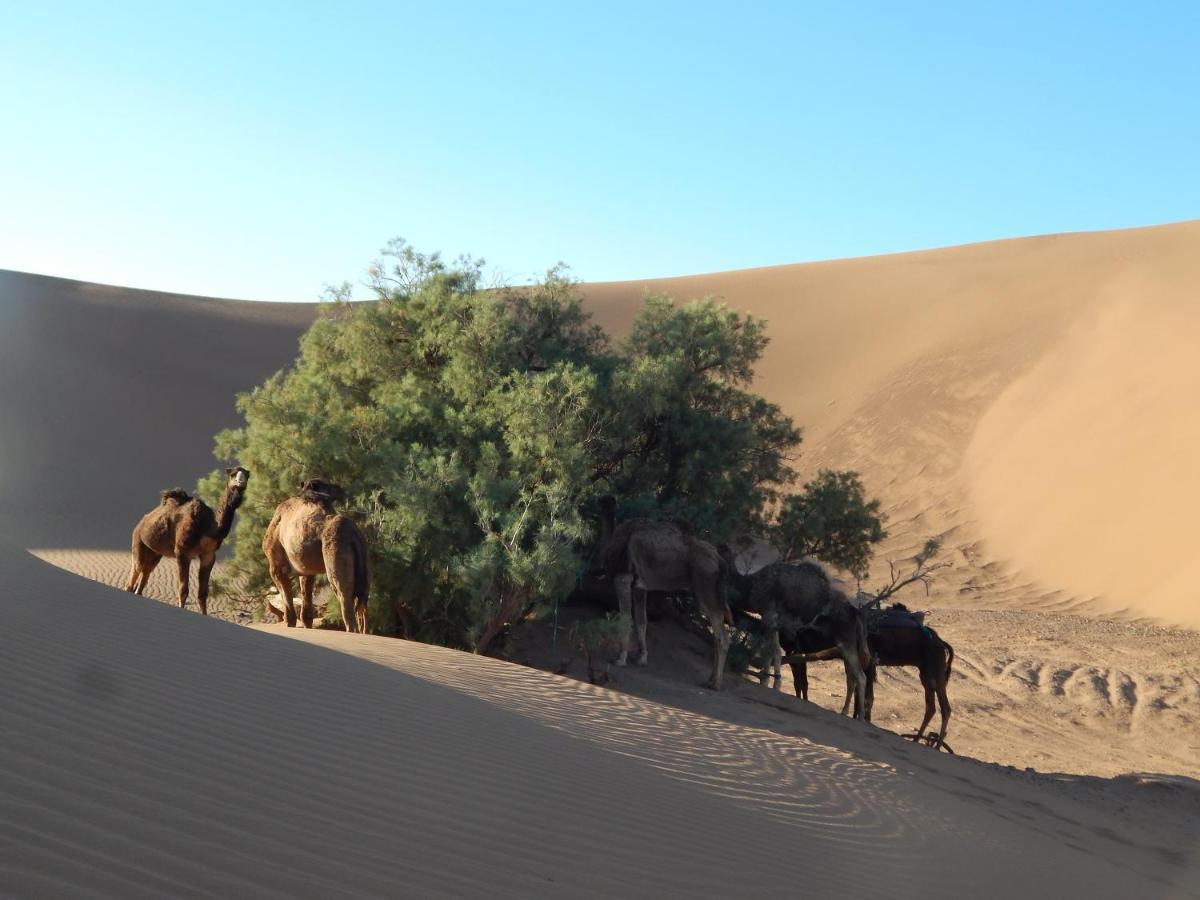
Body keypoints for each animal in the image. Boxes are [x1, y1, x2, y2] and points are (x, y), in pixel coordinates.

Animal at [125, 468, 249, 619]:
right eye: (232, 474)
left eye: (247, 475)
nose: (241, 481)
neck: (208, 527)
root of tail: (141, 523)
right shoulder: (183, 553)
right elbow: (183, 590)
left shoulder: (209, 556)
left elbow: (202, 594)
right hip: (138, 540)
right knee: (136, 571)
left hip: (155, 552)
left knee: (146, 572)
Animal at [262, 480, 369, 633]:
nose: (340, 490)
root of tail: (354, 534)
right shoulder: (306, 570)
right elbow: (306, 594)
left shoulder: (276, 566)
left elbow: (286, 593)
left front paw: (290, 622)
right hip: (364, 568)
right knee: (363, 605)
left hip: (335, 560)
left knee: (345, 598)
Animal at [600, 501, 729, 691]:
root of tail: (720, 561)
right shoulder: (640, 587)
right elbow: (642, 620)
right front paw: (641, 659)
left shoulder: (622, 577)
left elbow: (625, 618)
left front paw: (620, 659)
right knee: (717, 635)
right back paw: (710, 679)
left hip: (705, 590)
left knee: (722, 636)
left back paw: (716, 684)